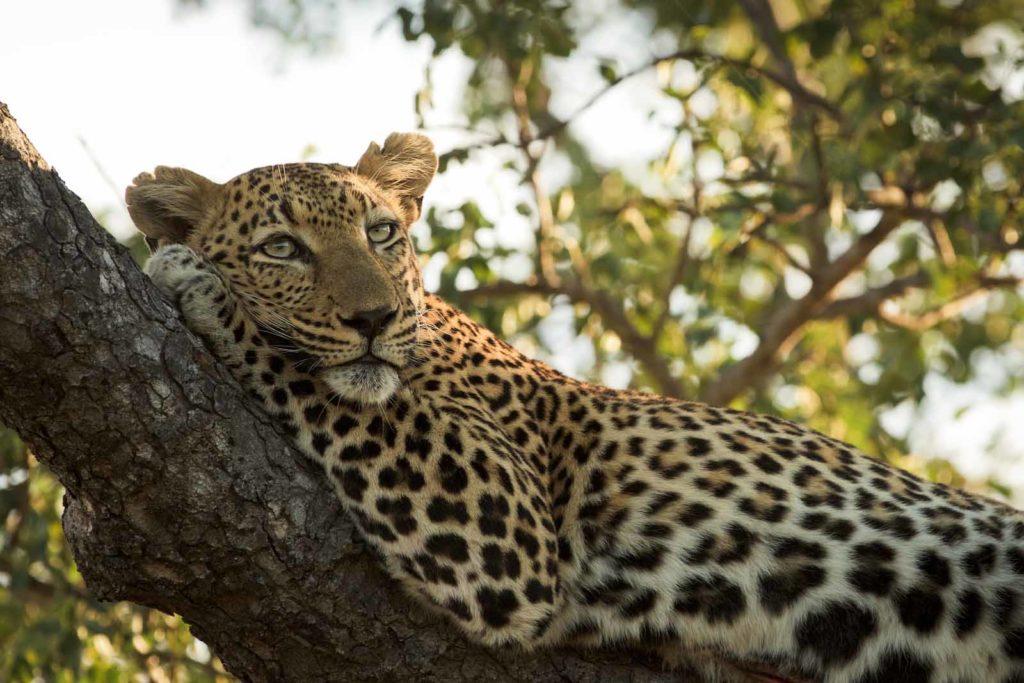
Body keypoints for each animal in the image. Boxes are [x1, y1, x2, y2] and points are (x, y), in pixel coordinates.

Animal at [125, 131, 1024, 679]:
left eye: (381, 232)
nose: (374, 317)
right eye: (282, 248)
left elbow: (319, 378)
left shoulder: (504, 525)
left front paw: (196, 283)